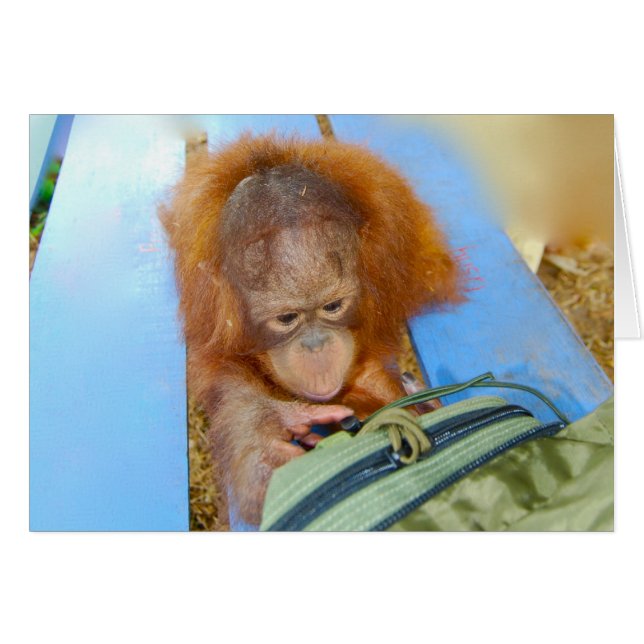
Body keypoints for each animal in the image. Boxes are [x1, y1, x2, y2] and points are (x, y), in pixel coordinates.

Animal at [160, 133, 461, 525]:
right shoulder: (211, 312)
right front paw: (266, 439)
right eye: (287, 318)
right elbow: (226, 375)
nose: (316, 346)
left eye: (332, 307)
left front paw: (420, 408)